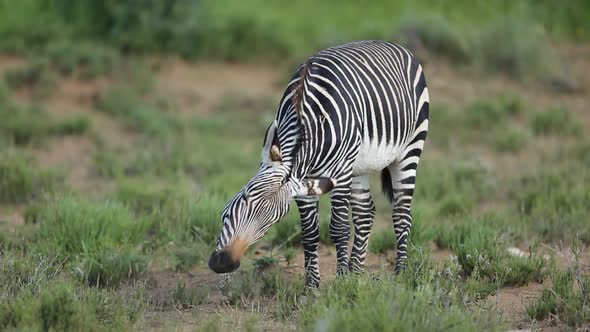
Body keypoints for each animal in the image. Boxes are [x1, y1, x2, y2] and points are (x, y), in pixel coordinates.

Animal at [208, 40, 430, 286]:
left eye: (270, 222)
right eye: (245, 198)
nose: (224, 263)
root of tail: (395, 45)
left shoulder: (340, 172)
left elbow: (340, 228)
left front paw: (341, 281)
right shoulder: (304, 181)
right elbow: (310, 232)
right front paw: (312, 284)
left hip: (409, 149)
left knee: (401, 214)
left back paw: (400, 273)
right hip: (359, 165)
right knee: (365, 212)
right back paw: (356, 272)